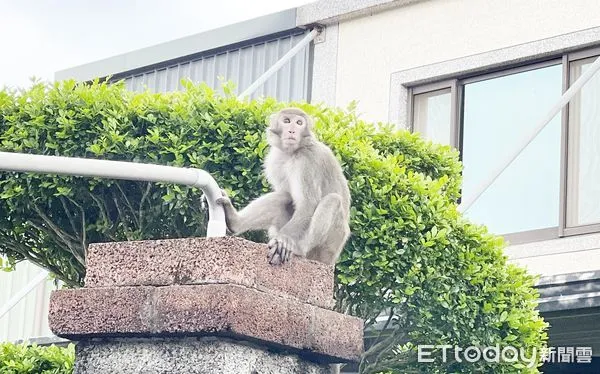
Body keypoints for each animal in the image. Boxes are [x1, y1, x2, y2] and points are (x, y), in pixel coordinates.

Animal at [218, 108, 352, 266]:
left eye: (299, 123)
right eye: (287, 121)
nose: (292, 130)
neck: (292, 153)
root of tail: (332, 260)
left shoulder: (308, 161)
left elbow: (308, 203)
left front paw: (283, 240)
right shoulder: (275, 159)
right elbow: (286, 194)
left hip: (328, 247)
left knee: (333, 200)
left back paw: (299, 249)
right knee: (285, 196)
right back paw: (234, 221)